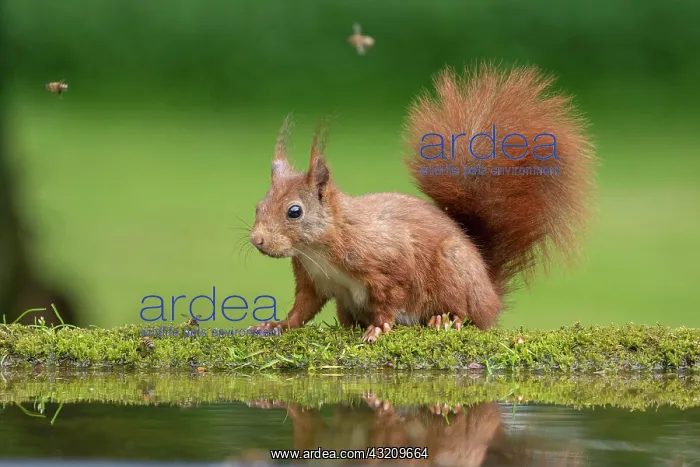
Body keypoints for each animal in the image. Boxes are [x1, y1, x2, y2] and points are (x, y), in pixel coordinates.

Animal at [248, 63, 595, 343]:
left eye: (295, 211)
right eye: (258, 207)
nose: (257, 240)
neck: (319, 248)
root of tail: (490, 291)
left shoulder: (388, 263)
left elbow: (390, 298)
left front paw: (378, 328)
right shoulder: (311, 280)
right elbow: (302, 310)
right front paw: (275, 325)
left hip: (453, 269)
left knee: (468, 313)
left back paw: (445, 318)